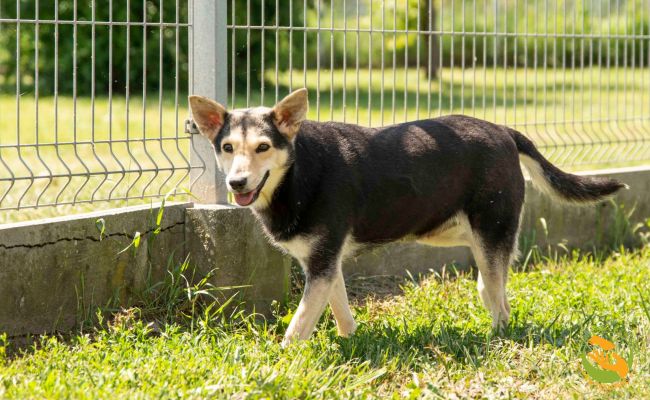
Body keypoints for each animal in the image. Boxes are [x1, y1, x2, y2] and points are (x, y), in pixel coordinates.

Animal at [189, 88, 626, 347]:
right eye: (227, 147)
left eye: (263, 147)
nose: (236, 182)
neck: (297, 173)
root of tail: (502, 129)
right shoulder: (326, 264)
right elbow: (339, 309)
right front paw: (351, 343)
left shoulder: (322, 264)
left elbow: (297, 327)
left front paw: (282, 362)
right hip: (460, 234)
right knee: (492, 287)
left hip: (491, 231)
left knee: (500, 299)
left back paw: (497, 336)